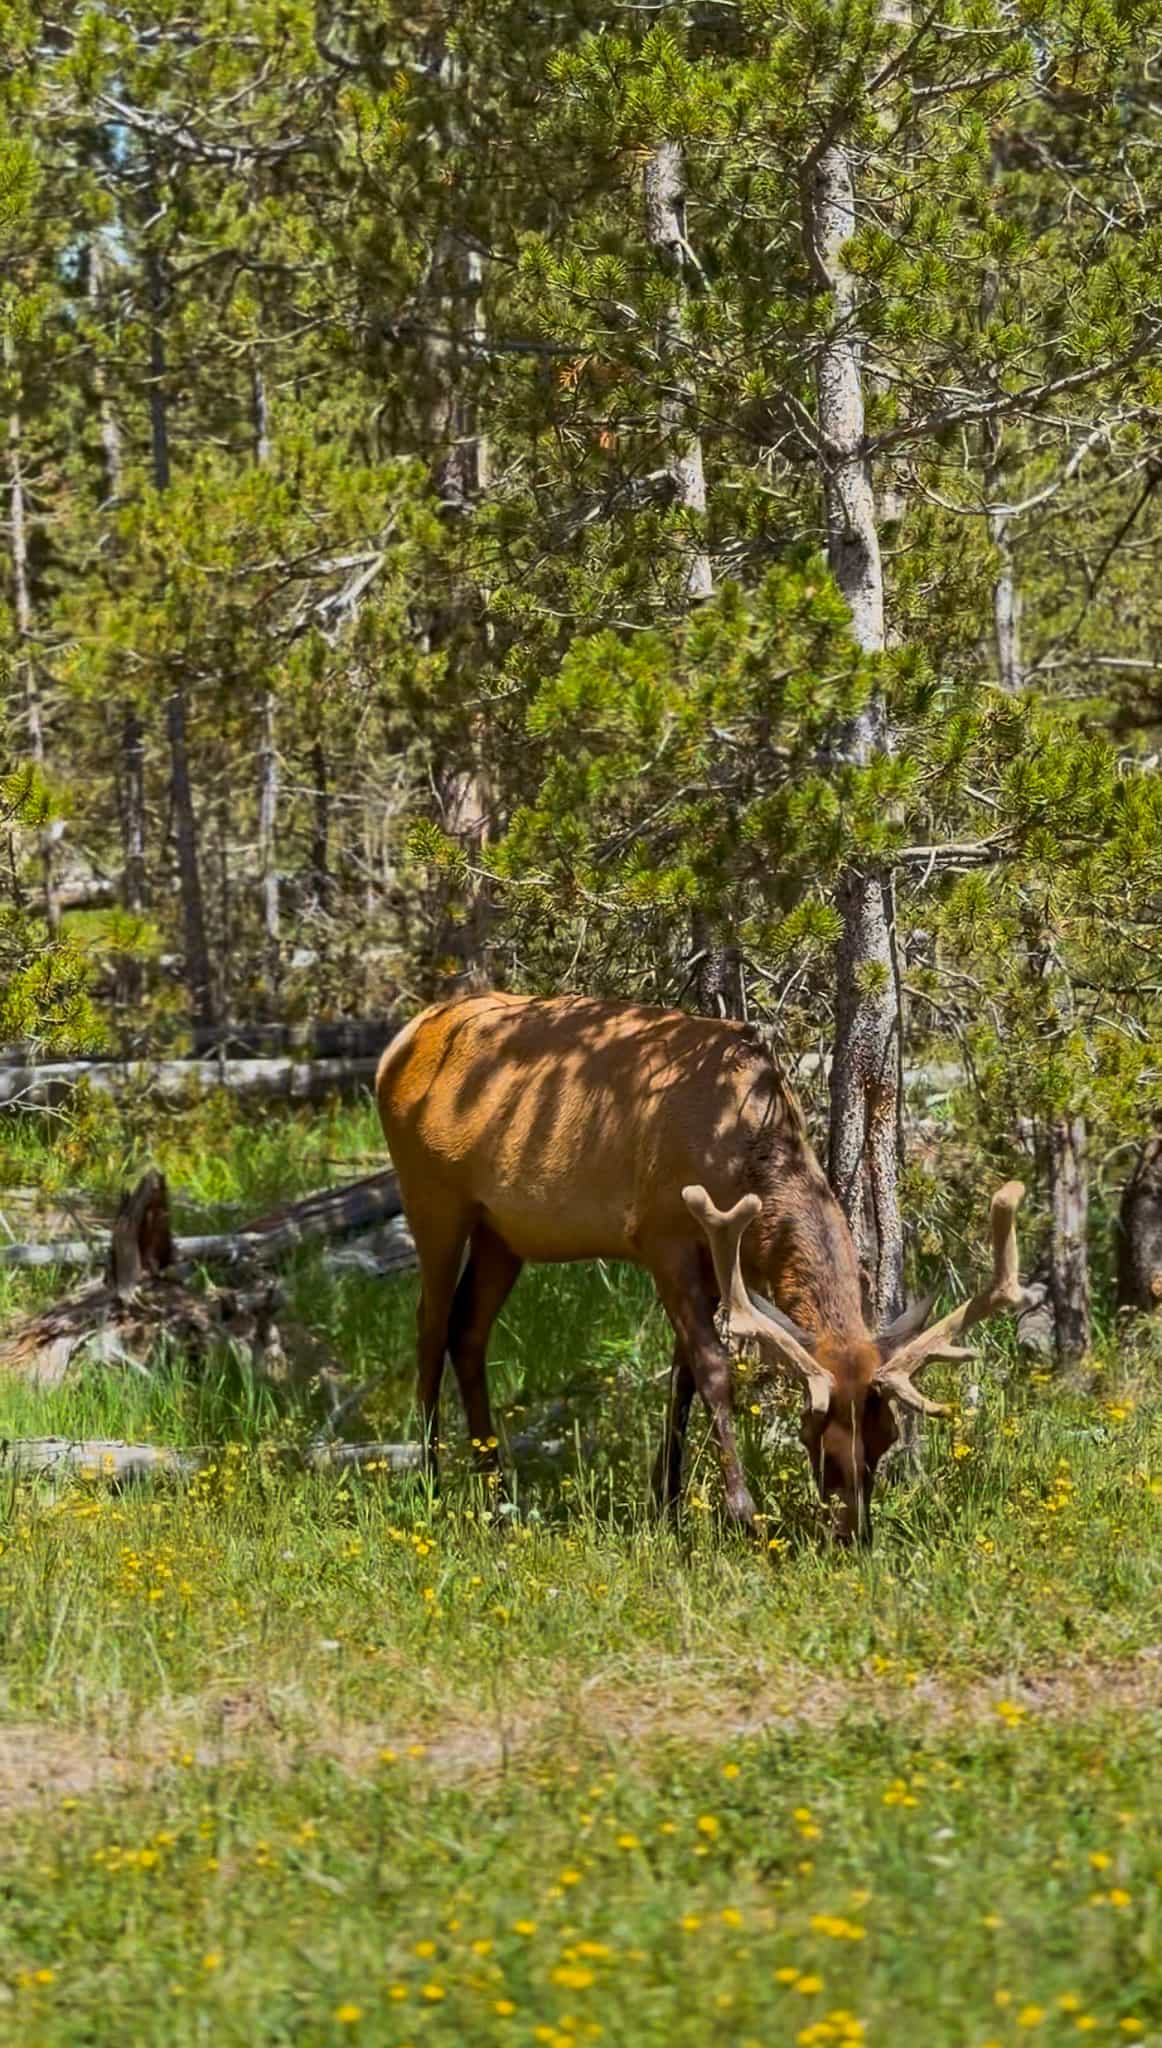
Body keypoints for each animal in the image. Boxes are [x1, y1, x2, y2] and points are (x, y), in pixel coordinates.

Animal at [376, 991, 1028, 1544]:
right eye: (818, 1429)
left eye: (887, 1434)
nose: (852, 1532)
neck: (740, 1149)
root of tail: (401, 1041)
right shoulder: (661, 1235)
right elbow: (712, 1367)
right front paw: (743, 1512)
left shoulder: (717, 1262)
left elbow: (682, 1373)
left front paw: (665, 1502)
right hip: (431, 1194)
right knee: (429, 1327)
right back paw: (431, 1479)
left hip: (503, 1231)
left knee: (468, 1331)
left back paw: (496, 1491)